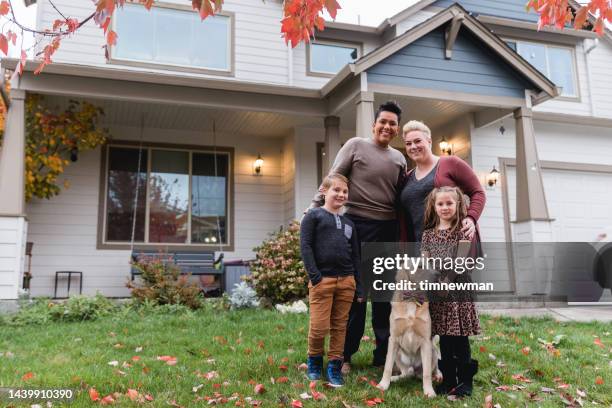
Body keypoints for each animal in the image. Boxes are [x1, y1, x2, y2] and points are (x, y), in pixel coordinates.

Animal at [376, 266, 442, 396]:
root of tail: (413, 369)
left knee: (431, 369)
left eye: (430, 264)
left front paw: (429, 391)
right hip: (398, 353)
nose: (438, 274)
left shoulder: (426, 341)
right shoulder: (393, 339)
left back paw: (437, 376)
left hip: (432, 349)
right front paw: (383, 385)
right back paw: (395, 378)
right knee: (406, 374)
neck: (412, 299)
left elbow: (427, 373)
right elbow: (387, 367)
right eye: (420, 267)